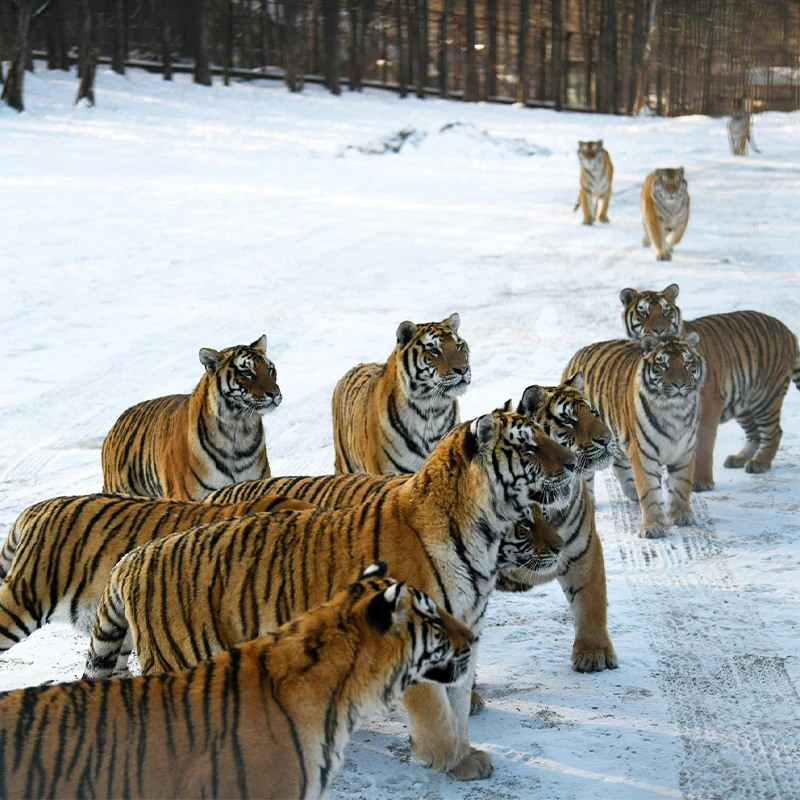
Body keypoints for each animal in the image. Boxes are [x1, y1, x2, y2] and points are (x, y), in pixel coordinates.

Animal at [85, 411, 576, 782]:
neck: (483, 535)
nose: (574, 462)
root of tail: (133, 558)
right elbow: (436, 711)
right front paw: (447, 761)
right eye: (529, 447)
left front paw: (466, 755)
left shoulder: (461, 632)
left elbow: (456, 702)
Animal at [564, 334, 707, 539]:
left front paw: (682, 515)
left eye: (687, 363)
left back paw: (632, 492)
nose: (679, 384)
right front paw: (653, 526)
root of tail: (577, 355)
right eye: (663, 365)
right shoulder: (643, 452)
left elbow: (682, 484)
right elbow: (649, 490)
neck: (675, 411)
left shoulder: (685, 450)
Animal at [620, 284, 800, 490]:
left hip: (765, 397)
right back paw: (739, 458)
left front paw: (701, 482)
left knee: (774, 431)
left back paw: (760, 463)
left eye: (666, 312)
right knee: (754, 432)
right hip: (743, 402)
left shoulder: (708, 404)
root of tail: (789, 331)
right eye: (644, 313)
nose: (659, 330)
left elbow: (703, 446)